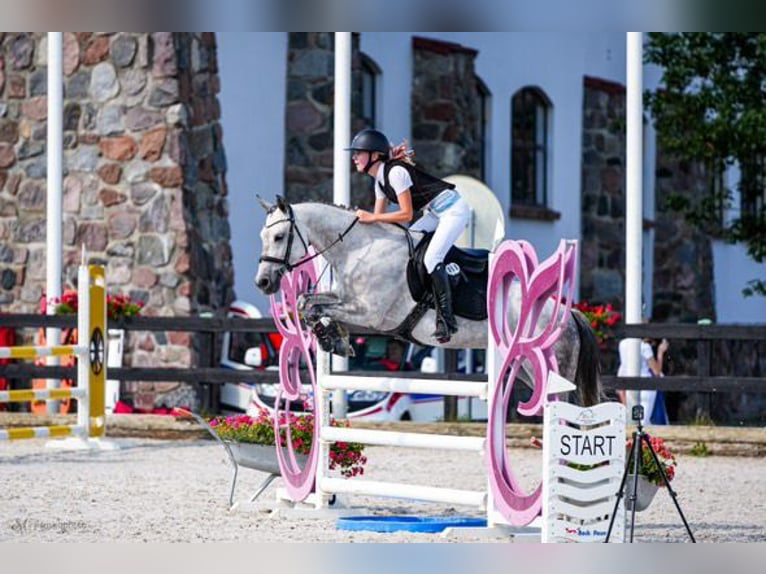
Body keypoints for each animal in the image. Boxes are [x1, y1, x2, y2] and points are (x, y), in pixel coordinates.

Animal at [255, 200, 604, 408]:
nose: (263, 282)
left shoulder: (371, 314)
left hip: (551, 370)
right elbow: (308, 302)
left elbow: (315, 306)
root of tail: (569, 314)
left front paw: (333, 337)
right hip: (526, 370)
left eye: (279, 237)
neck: (361, 248)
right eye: (262, 236)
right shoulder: (347, 299)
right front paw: (334, 339)